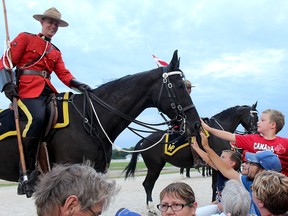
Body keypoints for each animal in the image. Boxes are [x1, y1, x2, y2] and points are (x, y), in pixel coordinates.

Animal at [125, 103, 258, 214]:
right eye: (255, 117)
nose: (256, 132)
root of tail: (145, 140)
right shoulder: (217, 164)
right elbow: (215, 185)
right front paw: (214, 201)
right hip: (155, 167)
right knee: (148, 184)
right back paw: (151, 208)